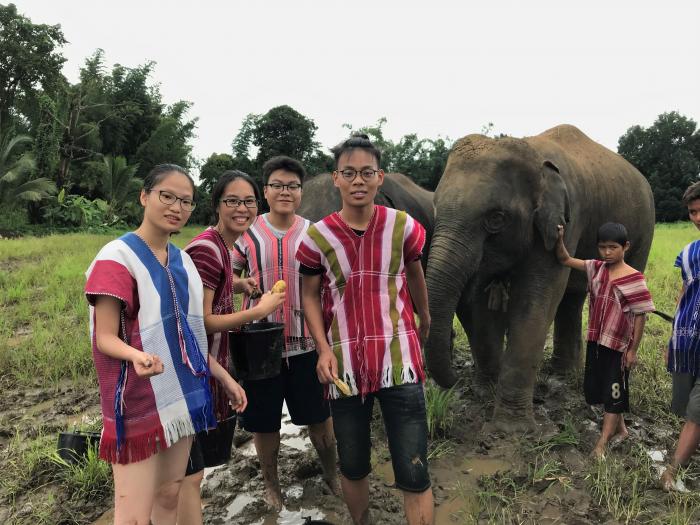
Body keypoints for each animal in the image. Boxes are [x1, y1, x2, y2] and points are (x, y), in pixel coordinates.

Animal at [426, 123, 656, 430]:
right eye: (435, 208)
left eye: (496, 218)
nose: (454, 382)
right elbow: (485, 304)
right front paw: (486, 392)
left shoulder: (564, 223)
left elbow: (534, 302)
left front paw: (510, 429)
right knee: (571, 300)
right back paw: (562, 374)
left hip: (643, 232)